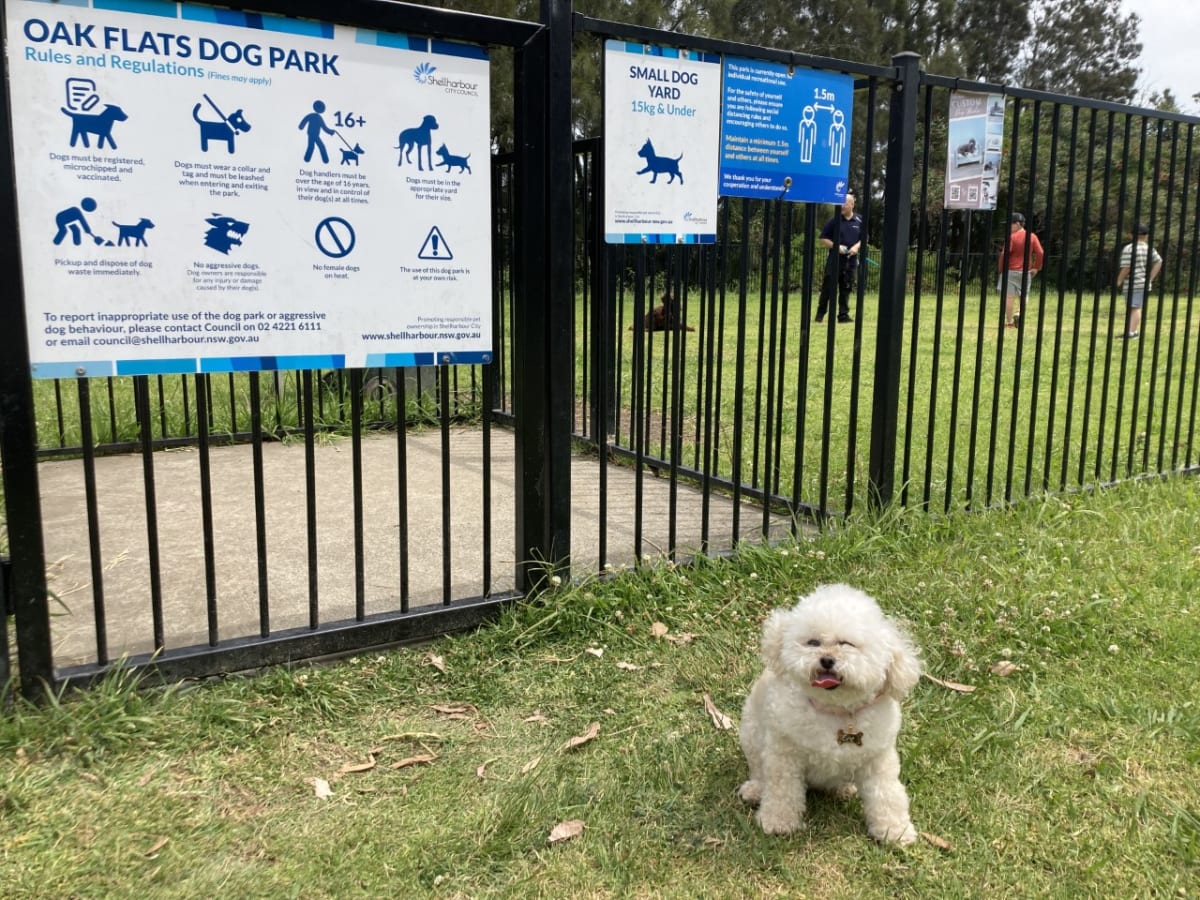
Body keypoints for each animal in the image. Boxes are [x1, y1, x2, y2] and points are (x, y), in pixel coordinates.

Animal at [738, 584, 921, 845]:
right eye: (813, 642)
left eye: (847, 644)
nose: (826, 659)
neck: (837, 710)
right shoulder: (784, 753)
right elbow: (781, 788)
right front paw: (777, 822)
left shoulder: (878, 759)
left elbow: (887, 794)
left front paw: (894, 831)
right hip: (751, 735)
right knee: (758, 771)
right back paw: (754, 790)